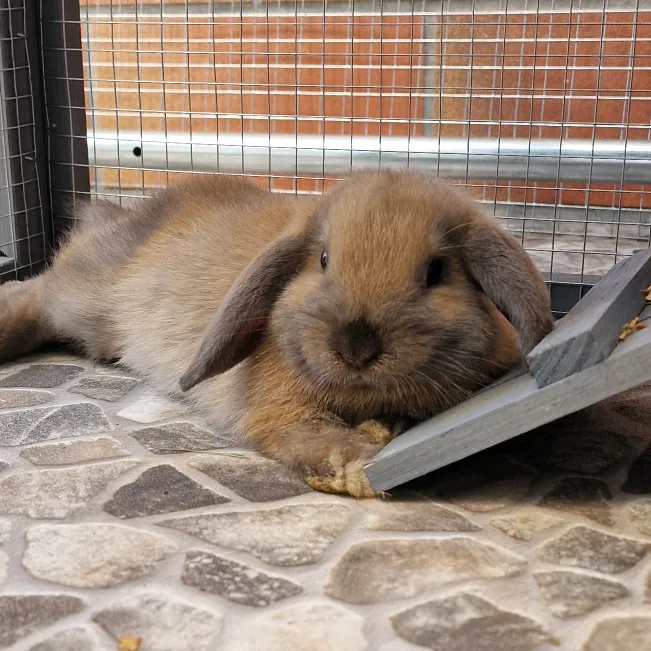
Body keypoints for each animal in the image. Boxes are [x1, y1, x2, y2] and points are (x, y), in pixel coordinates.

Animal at [0, 170, 553, 497]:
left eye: (437, 271)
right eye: (324, 259)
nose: (356, 346)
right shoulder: (280, 410)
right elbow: (307, 436)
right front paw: (358, 466)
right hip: (85, 303)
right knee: (35, 292)